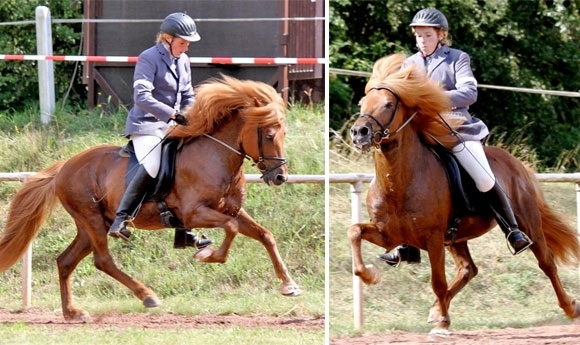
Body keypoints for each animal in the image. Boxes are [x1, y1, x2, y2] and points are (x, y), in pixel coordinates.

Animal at [0, 74, 300, 320]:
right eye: (269, 135)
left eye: (285, 134)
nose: (280, 177)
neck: (216, 157)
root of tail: (64, 167)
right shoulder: (195, 213)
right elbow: (232, 228)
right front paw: (208, 255)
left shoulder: (232, 210)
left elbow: (264, 234)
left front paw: (289, 285)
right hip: (92, 219)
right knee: (103, 260)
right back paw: (147, 296)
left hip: (90, 224)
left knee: (65, 261)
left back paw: (72, 313)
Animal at [346, 54, 580, 334]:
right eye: (363, 102)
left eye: (389, 104)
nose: (359, 133)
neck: (399, 181)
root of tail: (515, 162)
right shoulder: (388, 234)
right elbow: (354, 232)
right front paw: (370, 275)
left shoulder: (434, 238)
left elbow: (437, 280)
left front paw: (443, 324)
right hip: (457, 237)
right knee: (469, 269)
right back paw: (436, 309)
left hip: (527, 222)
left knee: (546, 262)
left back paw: (570, 307)